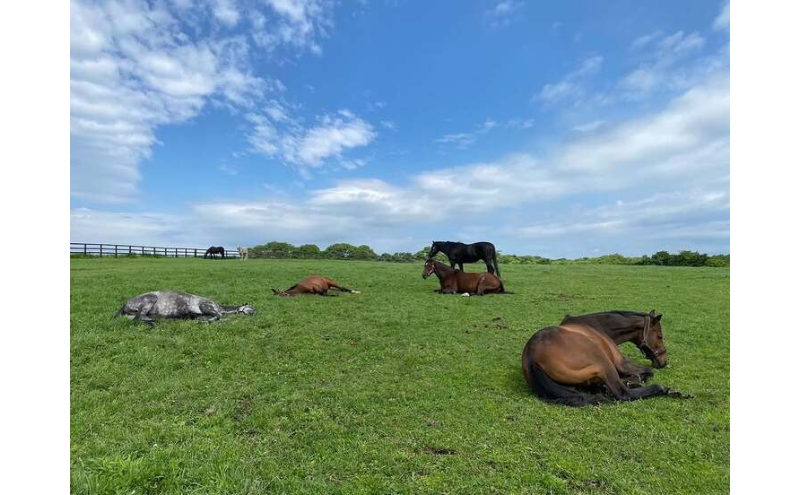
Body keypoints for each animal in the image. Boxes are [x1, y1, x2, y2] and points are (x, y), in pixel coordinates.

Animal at [115, 291, 255, 326]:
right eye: (250, 306)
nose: (253, 313)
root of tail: (124, 304)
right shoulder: (205, 306)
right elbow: (218, 316)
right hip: (150, 299)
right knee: (139, 318)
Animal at [521, 312, 691, 406]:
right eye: (660, 336)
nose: (664, 361)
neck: (597, 327)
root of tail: (532, 357)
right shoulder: (621, 363)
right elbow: (647, 371)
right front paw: (635, 379)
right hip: (604, 363)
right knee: (622, 393)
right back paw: (665, 390)